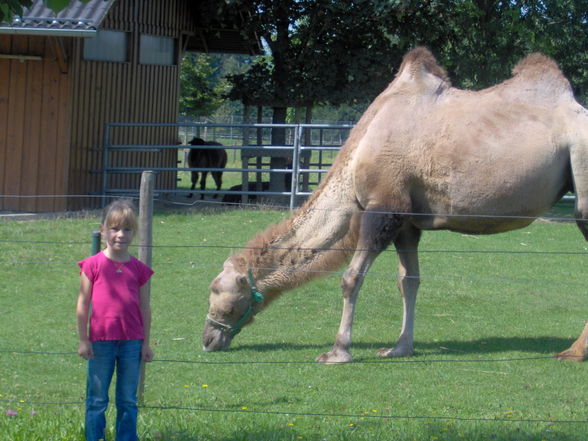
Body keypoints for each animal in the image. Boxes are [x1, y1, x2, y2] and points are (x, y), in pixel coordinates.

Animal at [201, 47, 588, 364]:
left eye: (227, 300)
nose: (207, 339)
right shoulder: (407, 222)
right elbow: (409, 280)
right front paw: (400, 347)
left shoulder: (383, 209)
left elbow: (351, 278)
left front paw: (337, 352)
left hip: (581, 176)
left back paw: (572, 352)